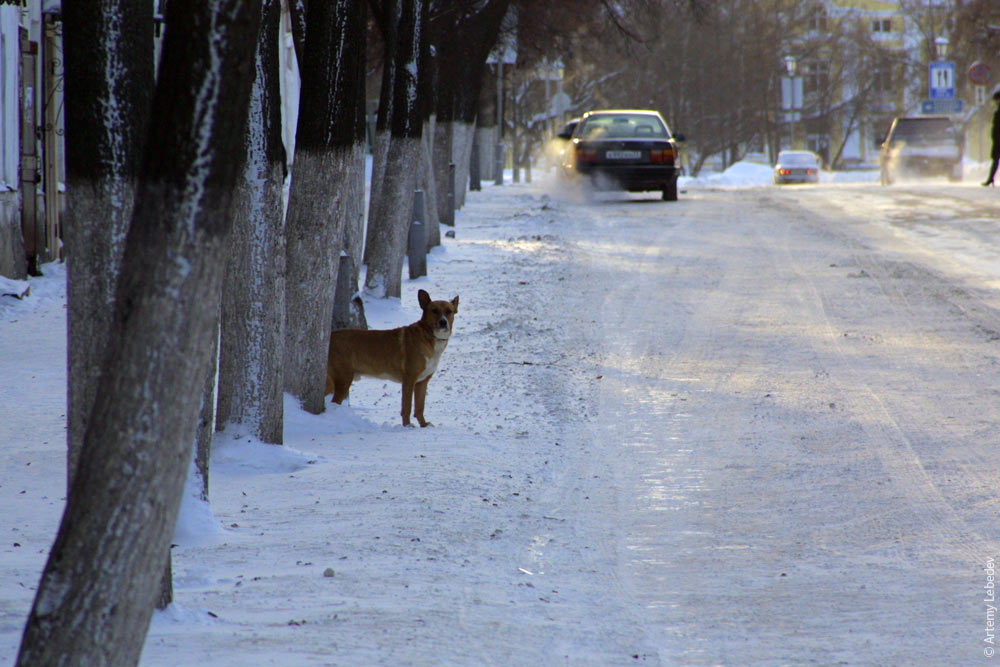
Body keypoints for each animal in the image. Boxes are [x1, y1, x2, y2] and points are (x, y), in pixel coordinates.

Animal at [326, 288, 458, 428]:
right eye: (434, 310)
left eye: (449, 311)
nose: (443, 322)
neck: (429, 337)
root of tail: (330, 337)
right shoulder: (409, 379)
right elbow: (407, 407)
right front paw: (407, 426)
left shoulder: (422, 382)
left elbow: (419, 407)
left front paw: (423, 425)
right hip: (343, 379)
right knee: (334, 402)